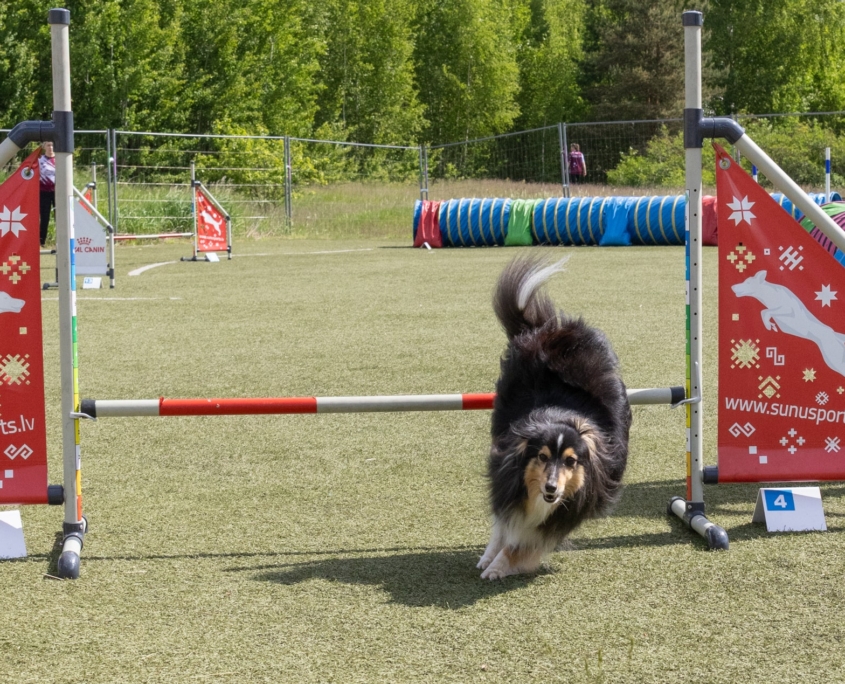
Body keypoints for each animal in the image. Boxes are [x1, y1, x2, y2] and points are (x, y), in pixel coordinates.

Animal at [478, 255, 632, 580]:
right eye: (542, 457)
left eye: (572, 462)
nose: (551, 488)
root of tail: (549, 329)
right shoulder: (504, 476)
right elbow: (503, 523)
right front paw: (490, 557)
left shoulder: (568, 510)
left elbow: (525, 540)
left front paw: (499, 566)